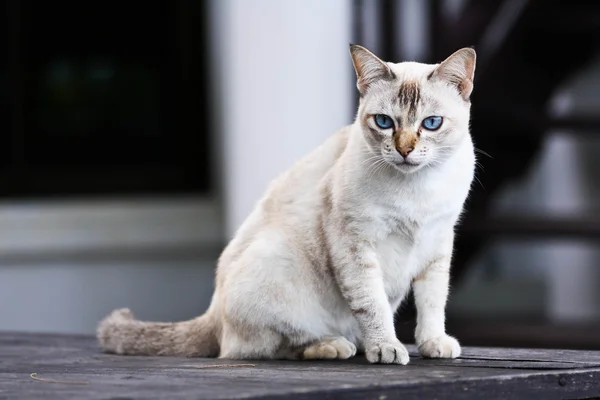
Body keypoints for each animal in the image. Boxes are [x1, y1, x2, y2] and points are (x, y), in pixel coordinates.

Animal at [96, 44, 476, 366]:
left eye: (431, 124)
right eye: (384, 122)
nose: (405, 150)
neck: (418, 189)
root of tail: (212, 313)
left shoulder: (438, 242)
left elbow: (432, 301)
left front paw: (434, 343)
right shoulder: (355, 244)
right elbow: (373, 305)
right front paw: (386, 348)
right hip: (275, 265)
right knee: (263, 347)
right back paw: (333, 345)